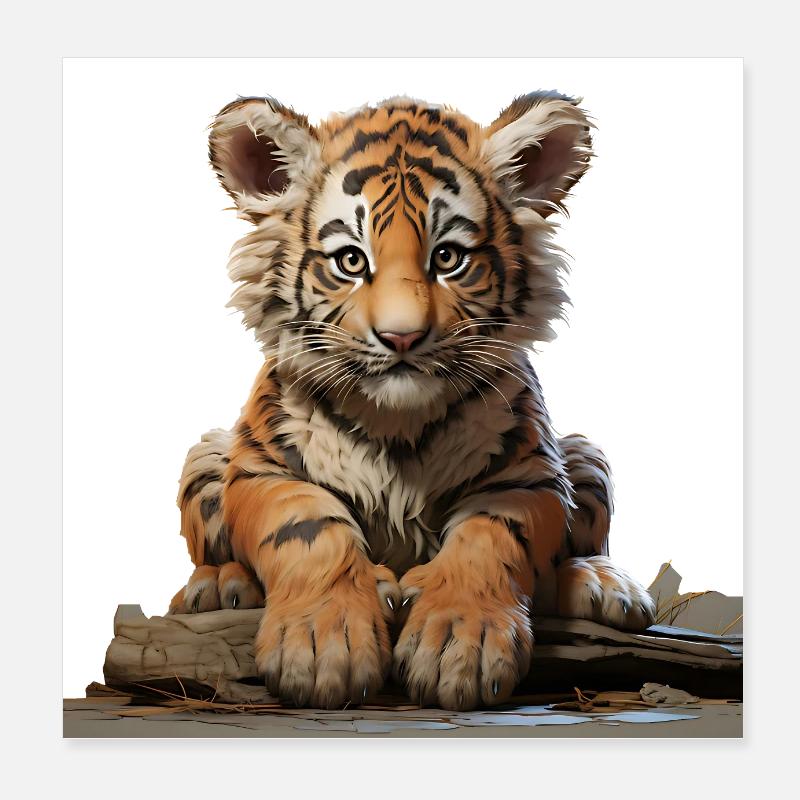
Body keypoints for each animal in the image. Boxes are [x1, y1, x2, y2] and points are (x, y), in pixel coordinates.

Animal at [168, 92, 656, 711]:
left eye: (448, 258)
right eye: (351, 262)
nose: (401, 338)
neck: (395, 422)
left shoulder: (529, 475)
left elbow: (491, 537)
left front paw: (461, 645)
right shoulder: (264, 468)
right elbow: (308, 530)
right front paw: (322, 646)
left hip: (586, 457)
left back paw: (599, 582)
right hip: (206, 455)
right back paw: (223, 586)